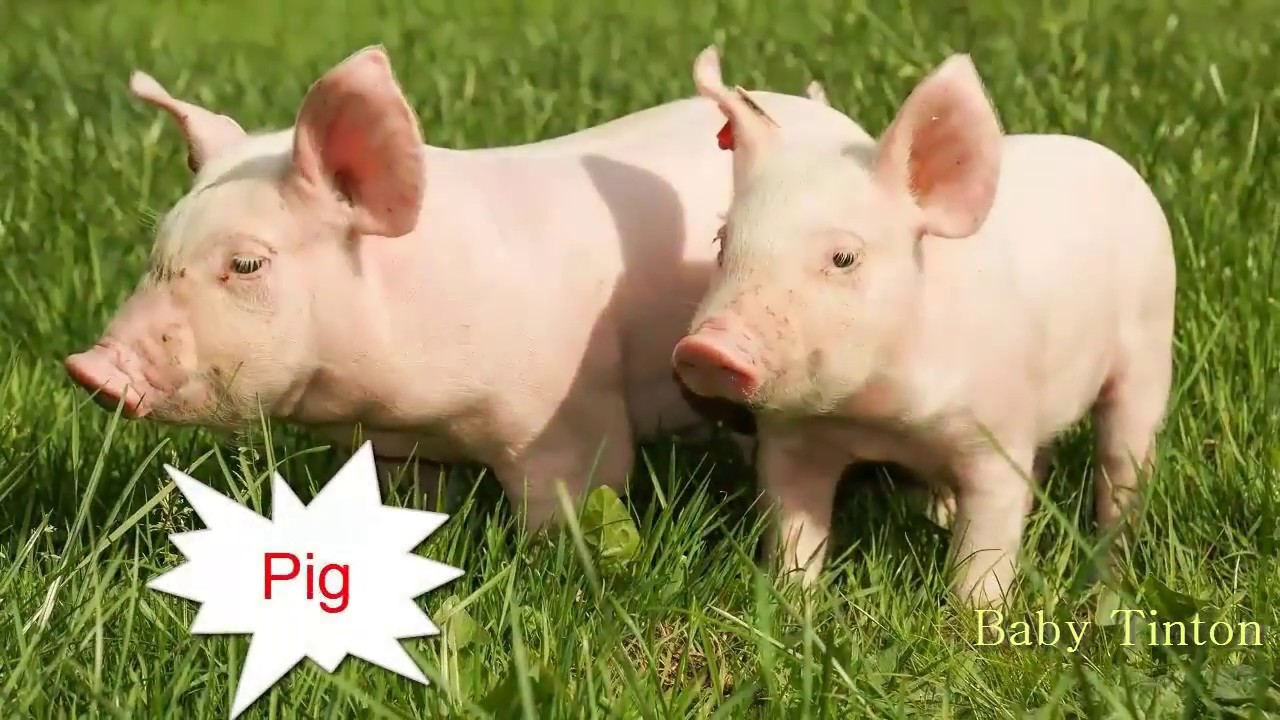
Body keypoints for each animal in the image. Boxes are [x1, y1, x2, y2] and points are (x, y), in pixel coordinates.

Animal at [63, 44, 872, 527]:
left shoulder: (569, 420)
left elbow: (576, 501)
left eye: (247, 265)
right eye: (159, 250)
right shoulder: (399, 445)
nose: (90, 367)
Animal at [672, 51, 1176, 607]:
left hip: (1150, 348)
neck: (878, 418)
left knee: (1122, 468)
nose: (705, 347)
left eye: (843, 258)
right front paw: (790, 604)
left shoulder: (995, 437)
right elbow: (794, 532)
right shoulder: (791, 441)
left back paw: (1111, 579)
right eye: (721, 242)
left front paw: (976, 620)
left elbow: (985, 550)